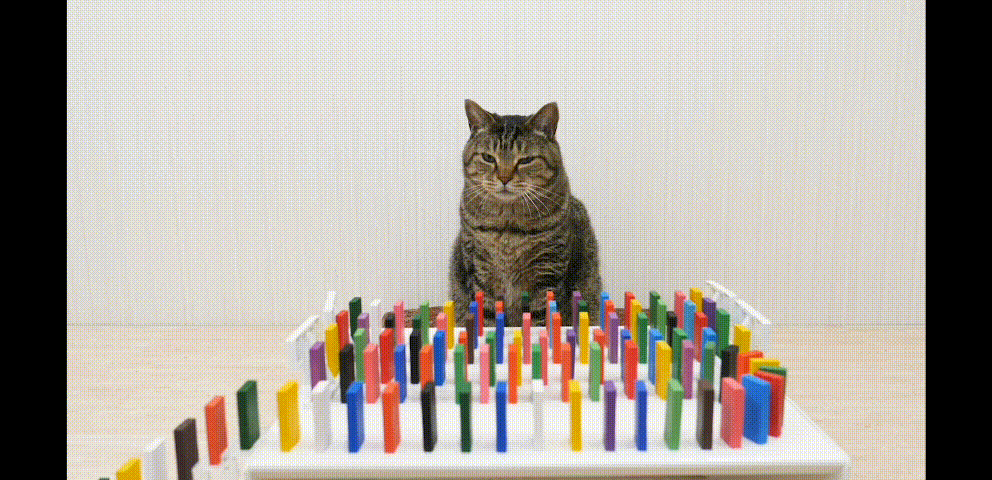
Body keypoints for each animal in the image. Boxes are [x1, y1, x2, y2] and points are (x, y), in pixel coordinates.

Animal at [449, 99, 602, 328]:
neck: (507, 227)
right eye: (488, 157)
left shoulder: (547, 272)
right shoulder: (479, 270)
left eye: (526, 160)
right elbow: (488, 317)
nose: (504, 178)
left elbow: (540, 318)